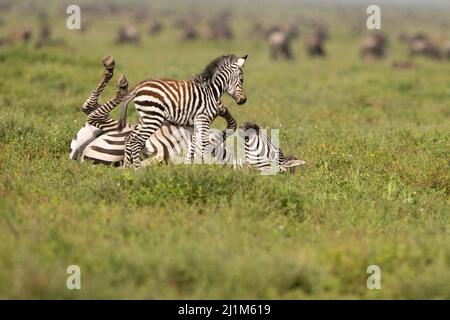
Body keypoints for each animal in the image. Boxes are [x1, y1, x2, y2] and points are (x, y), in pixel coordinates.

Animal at [70, 56, 304, 174]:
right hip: (125, 126)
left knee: (97, 116)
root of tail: (81, 158)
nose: (253, 125)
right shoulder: (208, 129)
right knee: (93, 112)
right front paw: (223, 108)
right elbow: (229, 125)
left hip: (124, 132)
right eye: (276, 149)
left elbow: (221, 131)